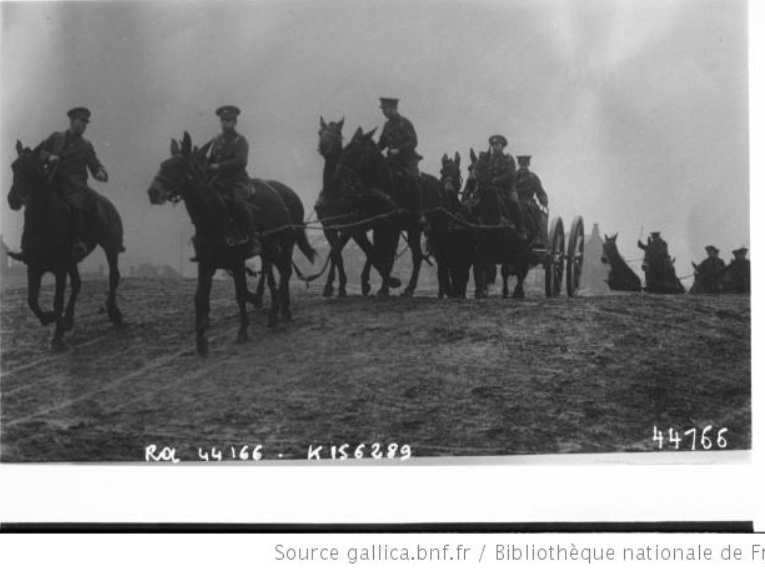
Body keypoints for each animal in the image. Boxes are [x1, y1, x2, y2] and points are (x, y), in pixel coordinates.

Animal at [5, 141, 124, 350]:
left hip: (110, 248)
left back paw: (113, 312)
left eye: (31, 168)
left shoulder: (60, 268)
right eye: (14, 166)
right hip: (73, 261)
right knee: (77, 284)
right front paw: (49, 318)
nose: (13, 199)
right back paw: (68, 319)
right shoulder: (33, 267)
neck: (42, 220)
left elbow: (57, 301)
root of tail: (108, 205)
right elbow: (32, 301)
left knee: (113, 277)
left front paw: (57, 337)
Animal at [145, 135, 314, 358]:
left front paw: (243, 330)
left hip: (282, 246)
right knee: (278, 273)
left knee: (284, 272)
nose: (153, 192)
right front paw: (201, 341)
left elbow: (240, 294)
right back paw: (279, 311)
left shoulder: (236, 262)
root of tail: (279, 194)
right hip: (271, 250)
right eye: (163, 165)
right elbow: (200, 298)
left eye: (178, 166)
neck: (214, 218)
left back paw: (275, 314)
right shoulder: (206, 264)